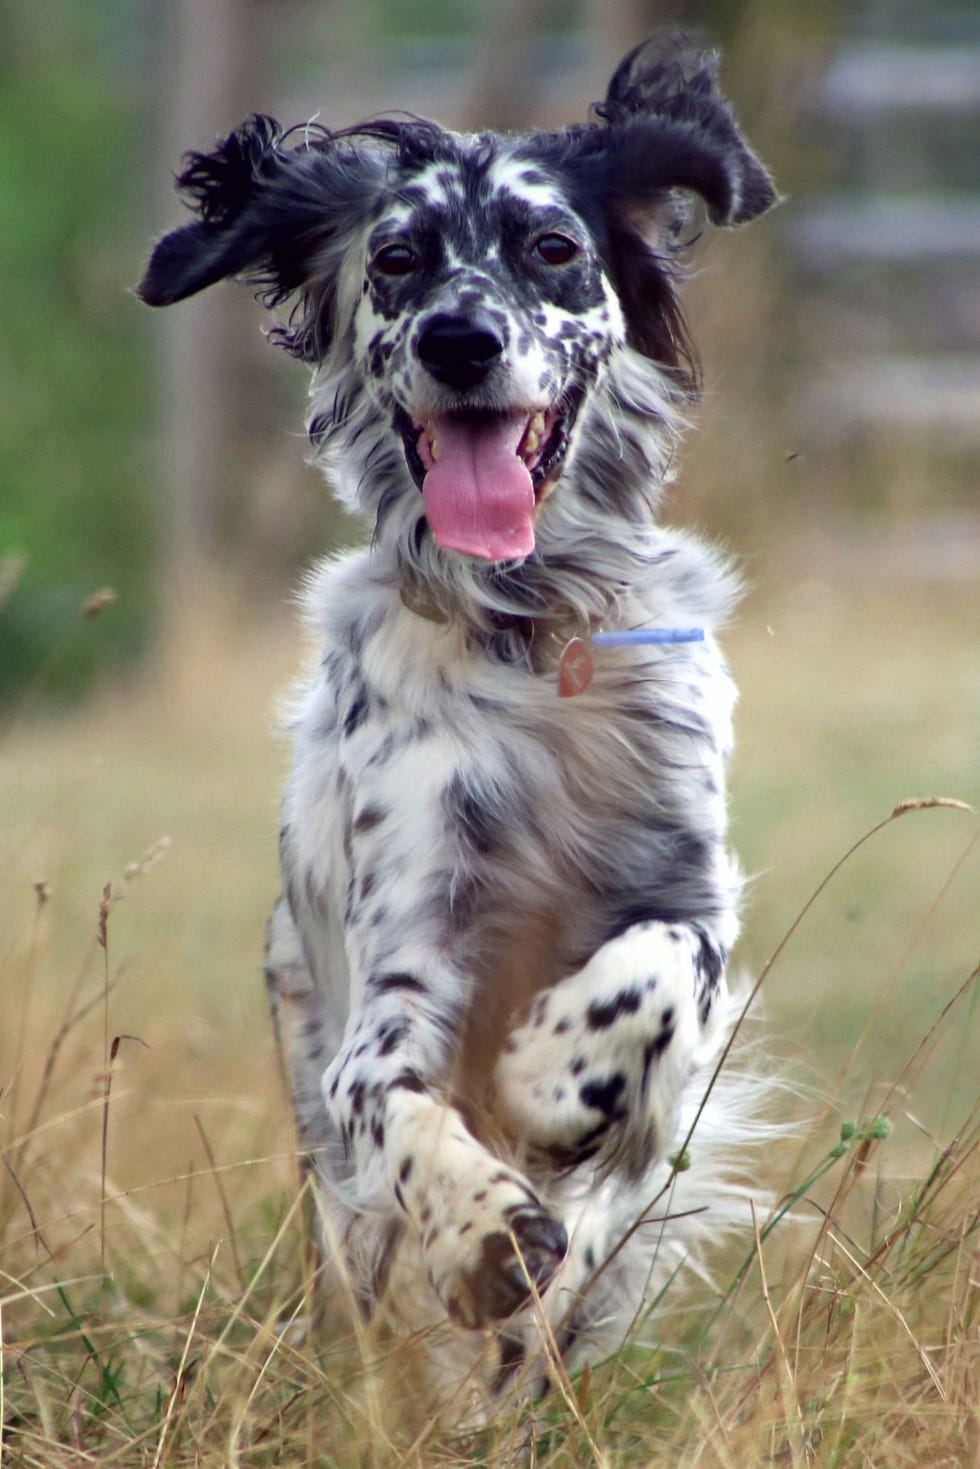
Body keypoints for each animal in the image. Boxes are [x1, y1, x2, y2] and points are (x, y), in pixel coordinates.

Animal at [139, 37, 781, 1410]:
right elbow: (395, 1099)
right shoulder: (399, 972)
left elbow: (659, 968)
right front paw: (482, 1224)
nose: (459, 336)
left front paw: (547, 1078)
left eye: (550, 246)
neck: (529, 634)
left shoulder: (692, 894)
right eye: (395, 259)